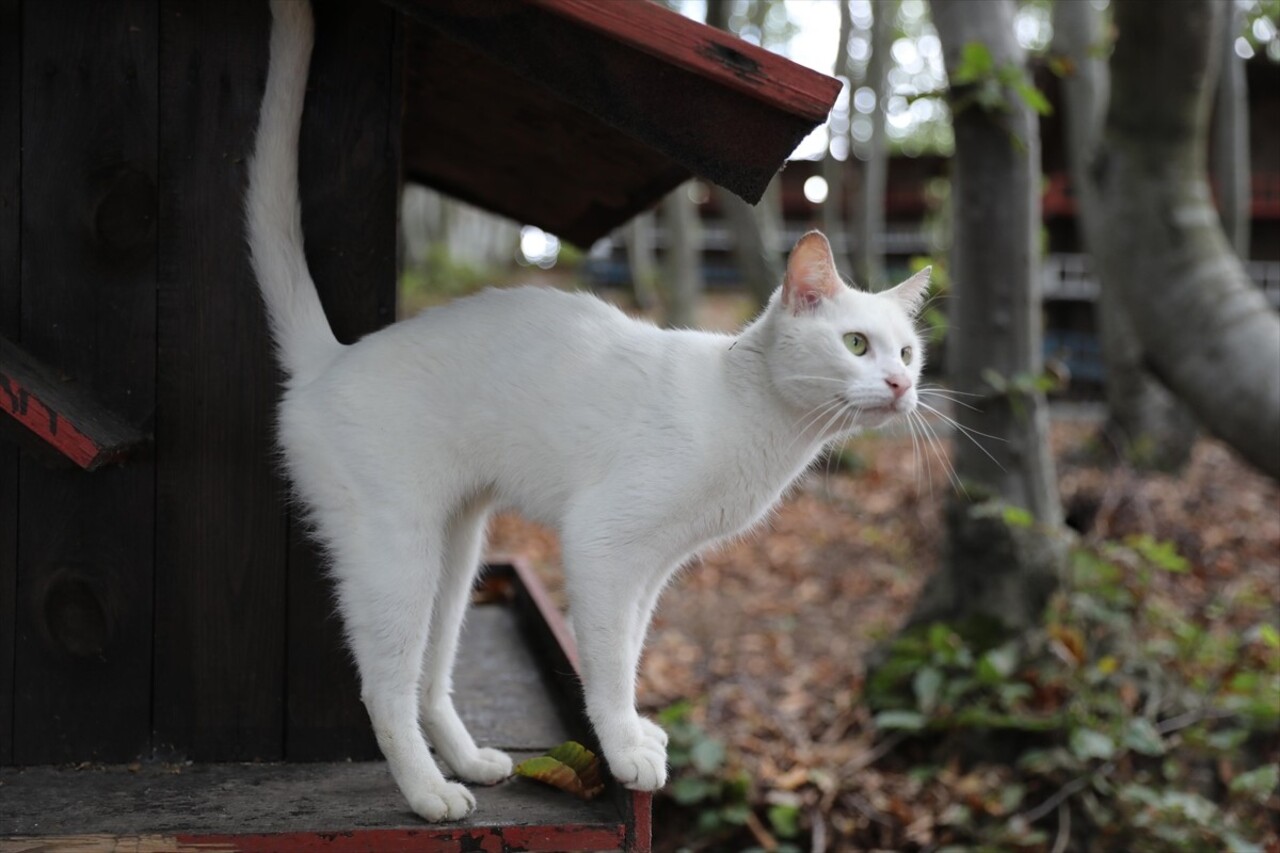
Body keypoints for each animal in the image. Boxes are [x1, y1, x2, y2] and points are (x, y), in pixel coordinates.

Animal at [249, 0, 931, 824]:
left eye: (908, 353)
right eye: (856, 343)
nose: (899, 387)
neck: (761, 426)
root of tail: (332, 358)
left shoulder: (653, 567)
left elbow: (630, 650)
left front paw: (635, 731)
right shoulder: (603, 545)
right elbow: (604, 663)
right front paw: (625, 748)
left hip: (457, 551)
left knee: (431, 677)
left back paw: (472, 762)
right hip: (395, 550)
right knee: (384, 685)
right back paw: (429, 793)